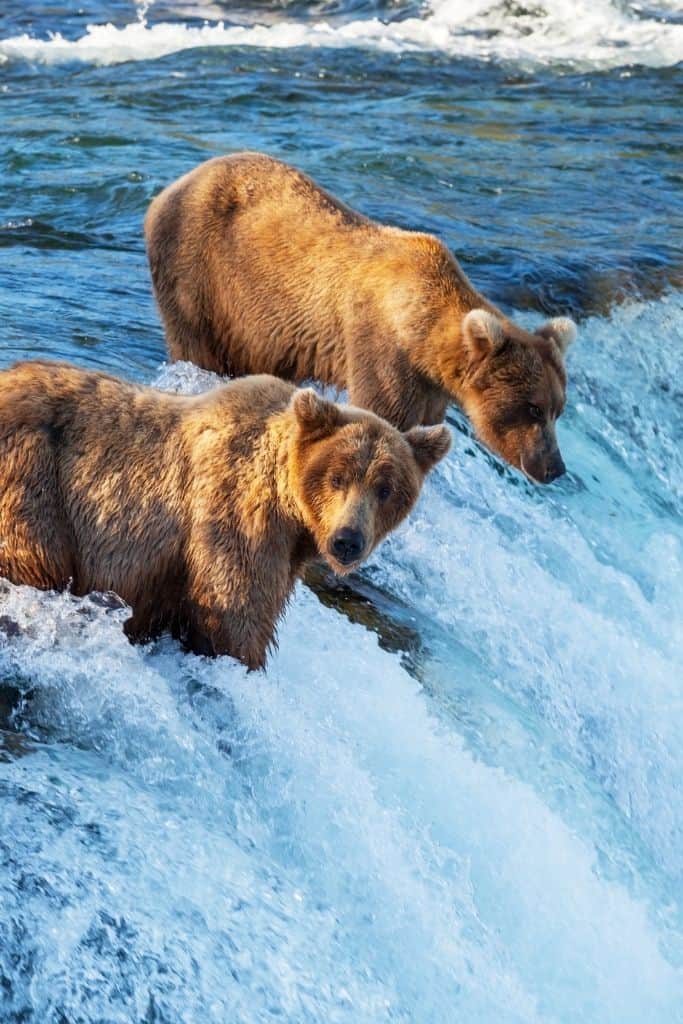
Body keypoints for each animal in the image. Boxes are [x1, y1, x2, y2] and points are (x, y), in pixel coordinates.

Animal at [0, 360, 450, 670]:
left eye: (386, 488)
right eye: (337, 476)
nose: (347, 540)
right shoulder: (236, 518)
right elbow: (235, 615)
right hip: (34, 482)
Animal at [144, 151, 577, 484]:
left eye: (558, 409)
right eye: (533, 407)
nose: (554, 467)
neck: (421, 334)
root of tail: (168, 189)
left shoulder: (430, 387)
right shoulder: (382, 349)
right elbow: (383, 413)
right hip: (202, 276)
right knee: (198, 346)